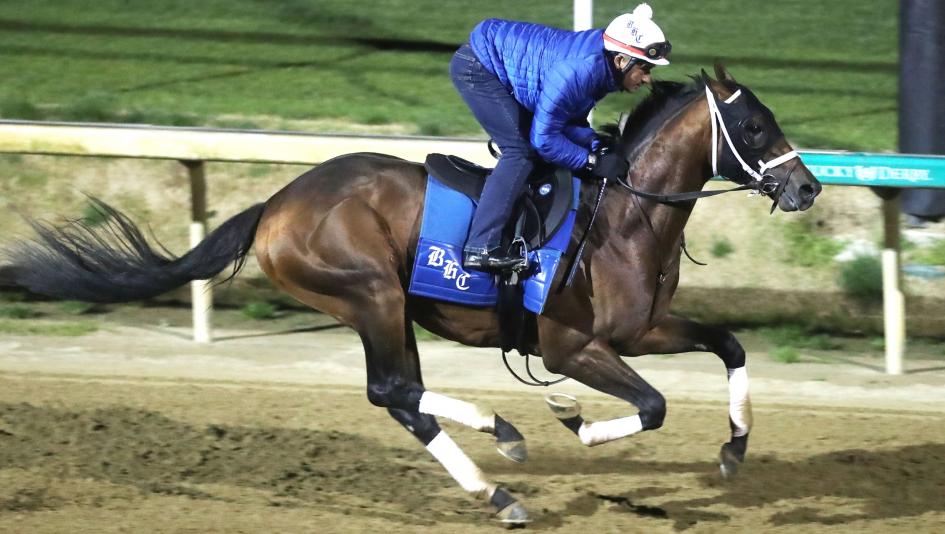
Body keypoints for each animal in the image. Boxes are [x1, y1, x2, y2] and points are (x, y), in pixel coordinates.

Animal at [4, 63, 820, 525]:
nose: (808, 187)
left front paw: (733, 450)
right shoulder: (572, 344)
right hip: (369, 291)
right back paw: (502, 436)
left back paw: (498, 483)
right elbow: (650, 406)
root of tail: (273, 205)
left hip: (387, 305)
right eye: (754, 124)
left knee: (401, 398)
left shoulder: (642, 330)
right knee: (390, 389)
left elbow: (729, 344)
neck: (623, 215)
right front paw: (574, 419)